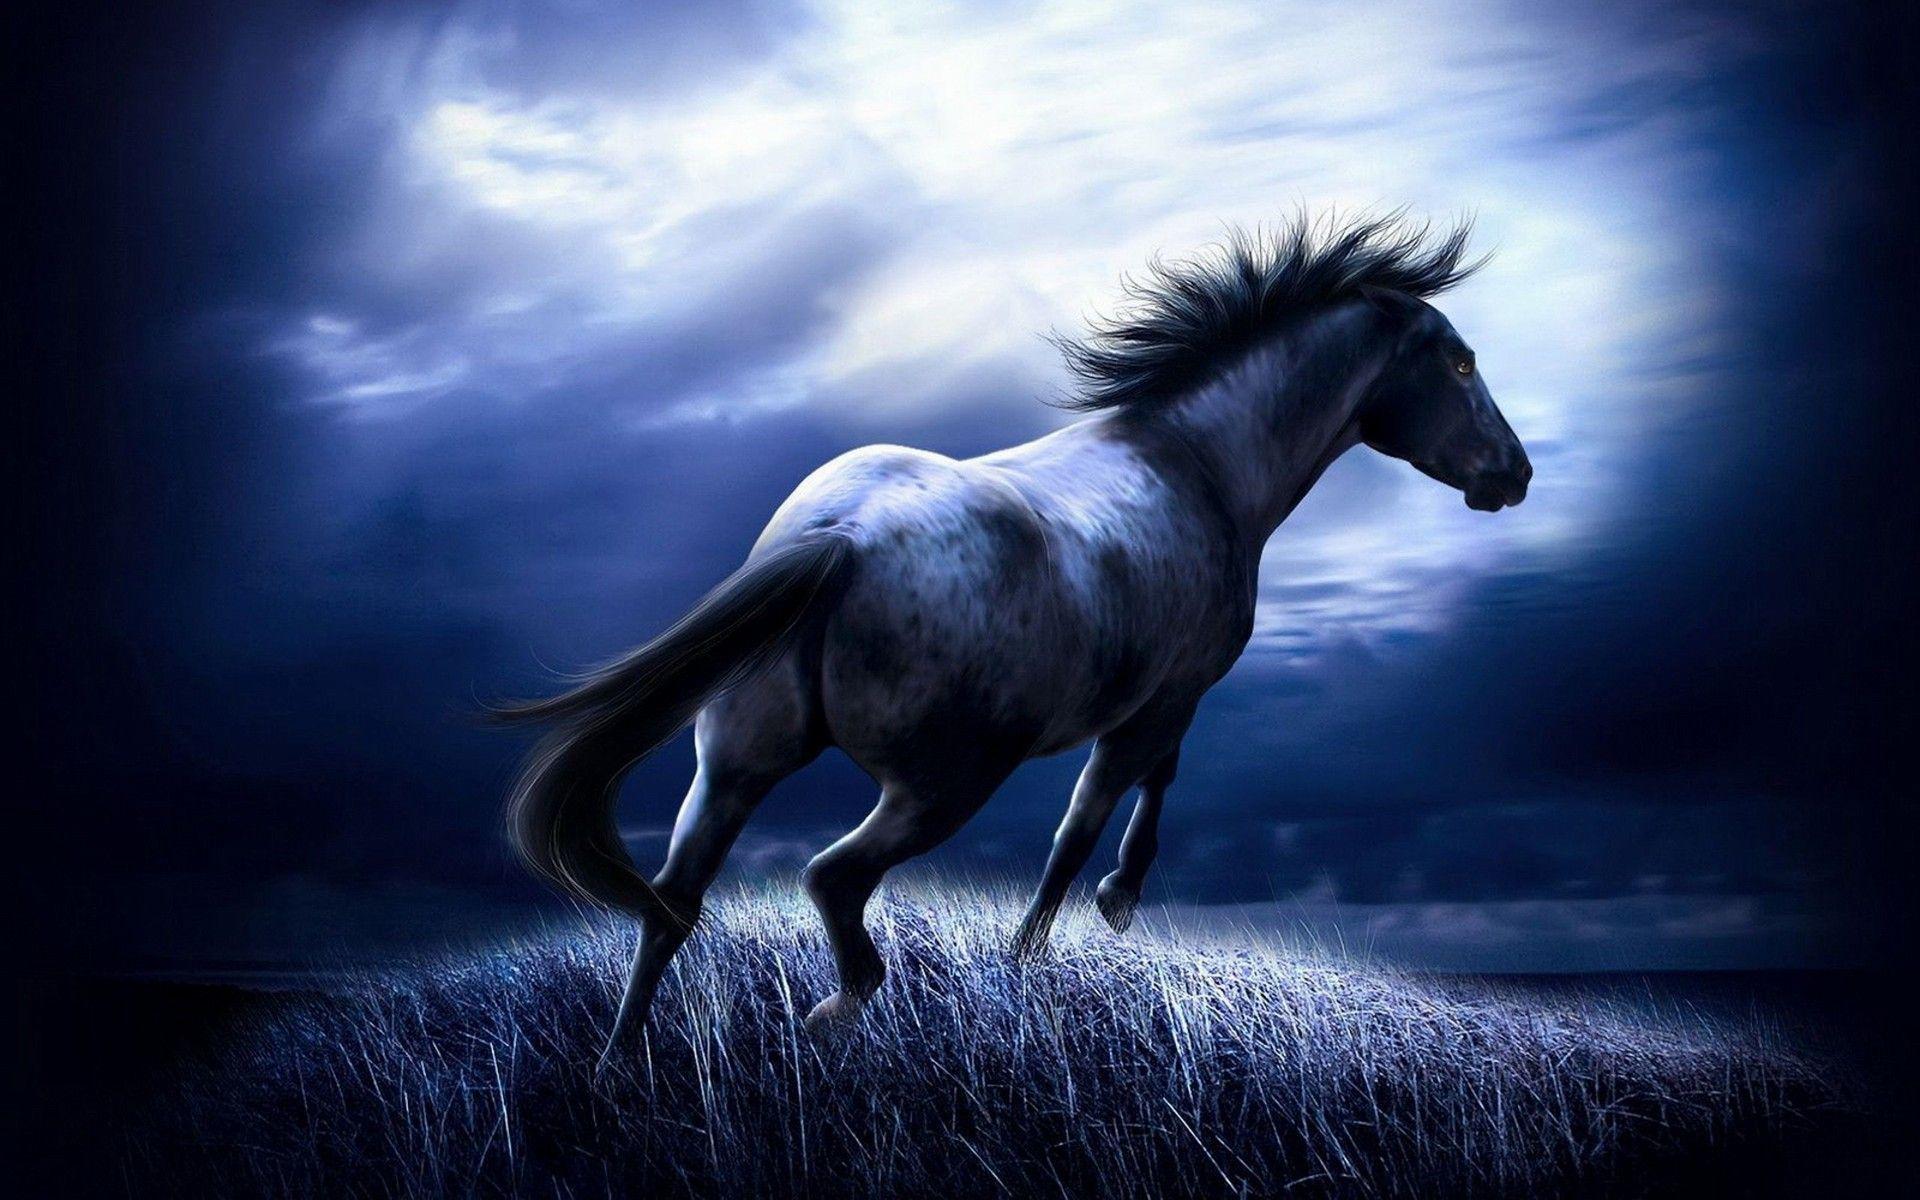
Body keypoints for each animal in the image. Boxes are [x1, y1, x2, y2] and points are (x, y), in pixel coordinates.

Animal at [493, 213, 1531, 1058]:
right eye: (1461, 363)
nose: (1514, 476)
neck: (1196, 465)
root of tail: (835, 540)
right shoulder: (1163, 701)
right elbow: (1091, 820)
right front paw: (1067, 932)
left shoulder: (1158, 704)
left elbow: (1136, 793)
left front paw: (1094, 916)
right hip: (944, 784)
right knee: (831, 880)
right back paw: (833, 1012)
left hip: (734, 765)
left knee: (672, 905)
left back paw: (619, 1065)